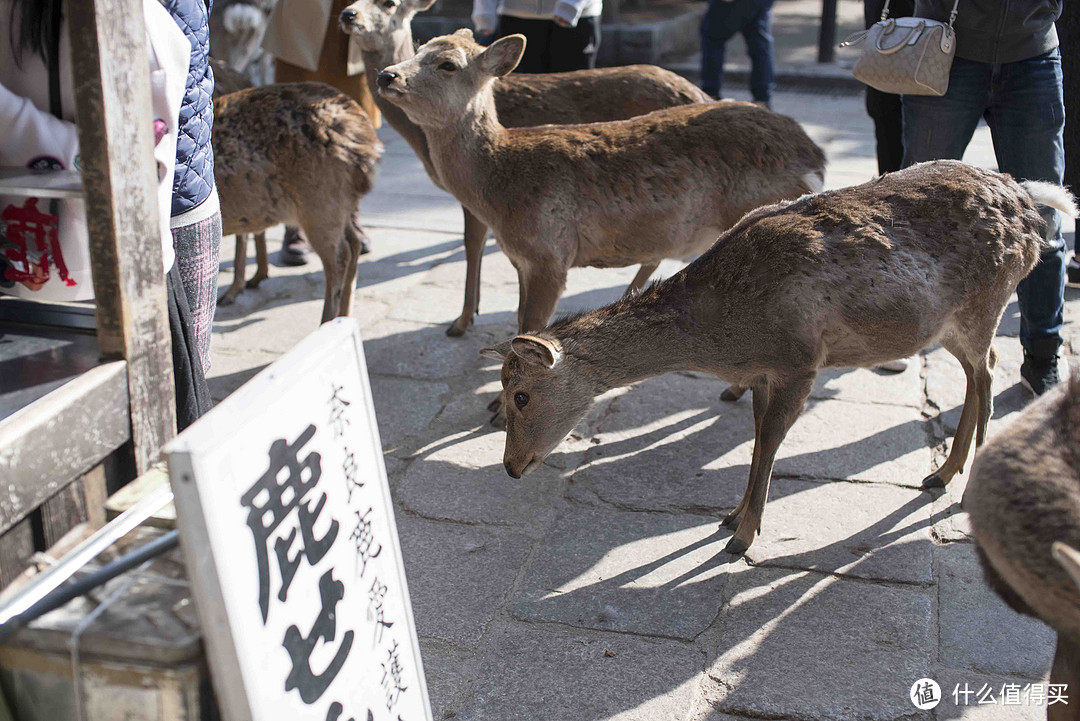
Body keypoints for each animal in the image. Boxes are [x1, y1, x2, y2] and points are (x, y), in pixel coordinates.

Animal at [211, 81, 384, 321]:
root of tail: (369, 147)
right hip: (341, 204)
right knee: (354, 243)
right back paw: (344, 317)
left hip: (320, 203)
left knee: (340, 257)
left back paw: (326, 322)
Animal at [336, 0, 708, 338]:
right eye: (419, 47)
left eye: (389, 2)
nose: (387, 75)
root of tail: (699, 93)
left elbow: (473, 245)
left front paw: (462, 321)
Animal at [378, 31, 825, 338]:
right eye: (417, 47)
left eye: (447, 64)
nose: (386, 75)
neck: (501, 181)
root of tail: (816, 158)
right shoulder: (523, 259)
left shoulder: (550, 255)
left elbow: (529, 329)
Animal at [483, 162, 1080, 556]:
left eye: (520, 394)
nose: (511, 467)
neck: (726, 332)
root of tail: (1029, 202)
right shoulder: (762, 373)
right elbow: (755, 441)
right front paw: (730, 518)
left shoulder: (800, 360)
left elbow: (769, 442)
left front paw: (744, 539)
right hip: (951, 324)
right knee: (982, 368)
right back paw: (941, 475)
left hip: (985, 303)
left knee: (988, 372)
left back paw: (966, 478)